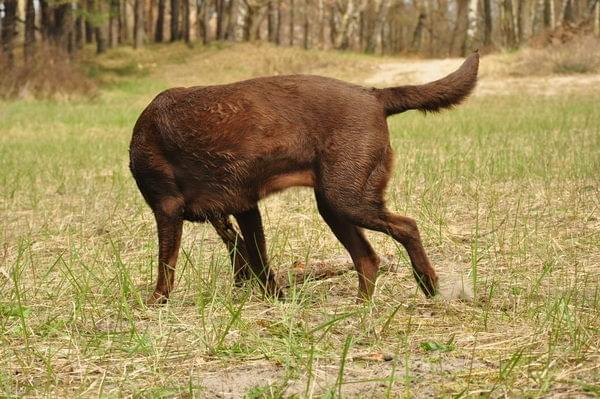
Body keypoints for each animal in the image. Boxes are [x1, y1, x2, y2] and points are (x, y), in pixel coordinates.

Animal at [130, 51, 478, 304]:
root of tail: (374, 95)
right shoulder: (241, 209)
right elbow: (255, 259)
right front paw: (274, 299)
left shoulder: (168, 208)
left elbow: (166, 264)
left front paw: (156, 303)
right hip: (333, 206)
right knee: (367, 258)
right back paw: (360, 307)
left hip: (348, 199)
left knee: (407, 227)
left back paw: (427, 283)